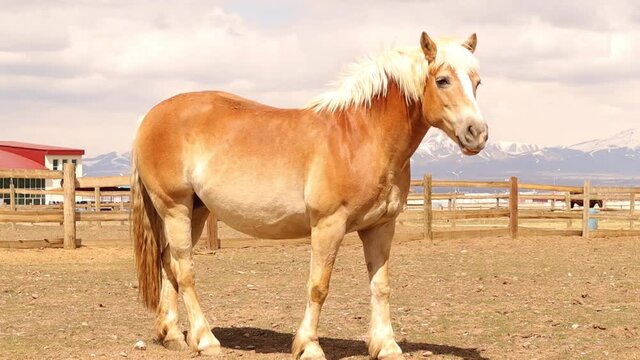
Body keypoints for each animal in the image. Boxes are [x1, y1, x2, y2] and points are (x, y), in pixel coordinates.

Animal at [131, 32, 490, 358]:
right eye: (442, 80)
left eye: (477, 82)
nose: (478, 133)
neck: (360, 138)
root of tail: (151, 117)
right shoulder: (328, 226)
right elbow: (318, 287)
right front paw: (309, 347)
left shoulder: (380, 227)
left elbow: (380, 286)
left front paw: (386, 346)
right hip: (175, 207)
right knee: (185, 270)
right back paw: (205, 340)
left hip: (197, 209)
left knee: (169, 262)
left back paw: (173, 335)